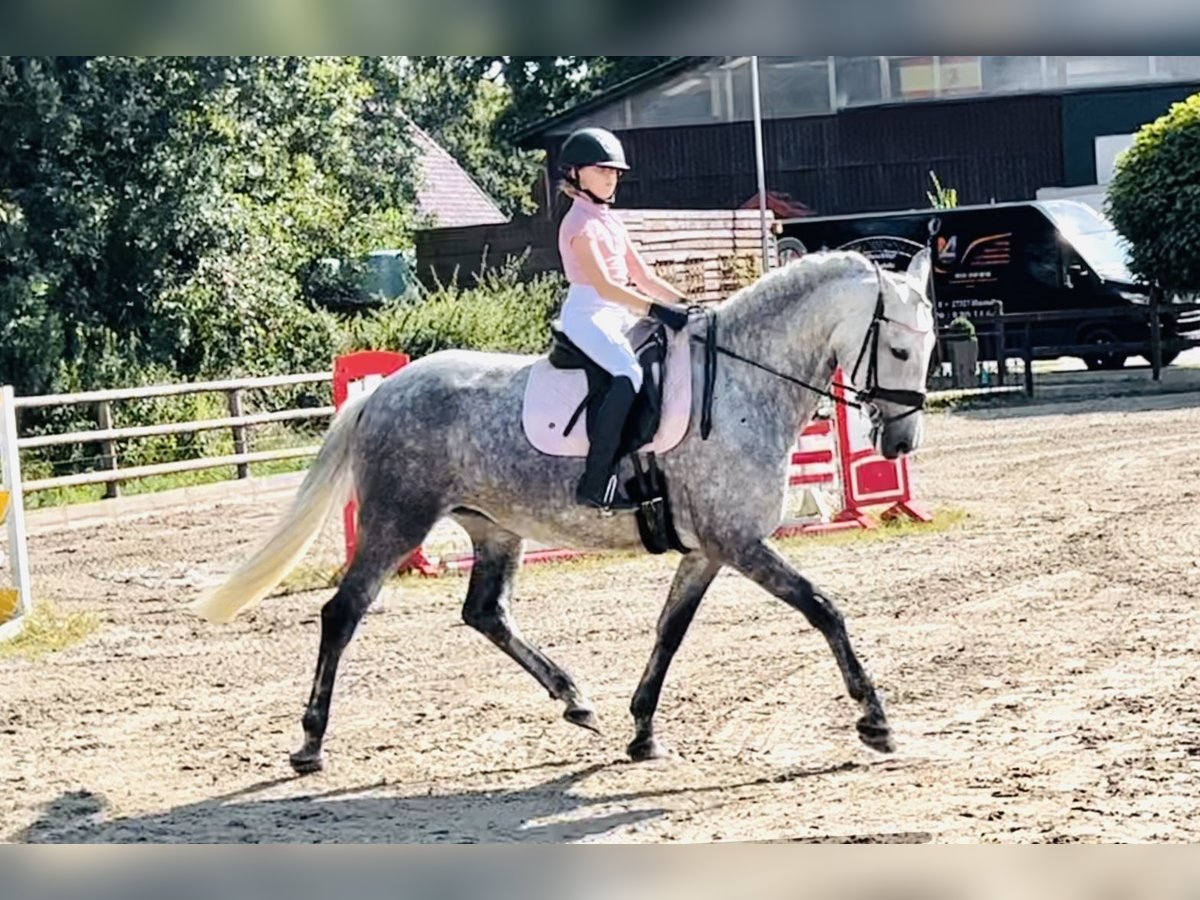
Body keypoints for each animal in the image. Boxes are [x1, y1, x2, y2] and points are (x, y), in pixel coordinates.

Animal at [192, 248, 936, 777]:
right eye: (899, 348)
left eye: (927, 349)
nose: (900, 442)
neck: (742, 382)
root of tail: (383, 391)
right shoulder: (740, 542)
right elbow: (823, 609)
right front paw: (875, 720)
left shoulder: (707, 549)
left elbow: (669, 632)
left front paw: (643, 731)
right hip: (396, 522)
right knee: (343, 613)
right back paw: (310, 743)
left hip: (494, 528)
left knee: (485, 613)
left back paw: (575, 699)